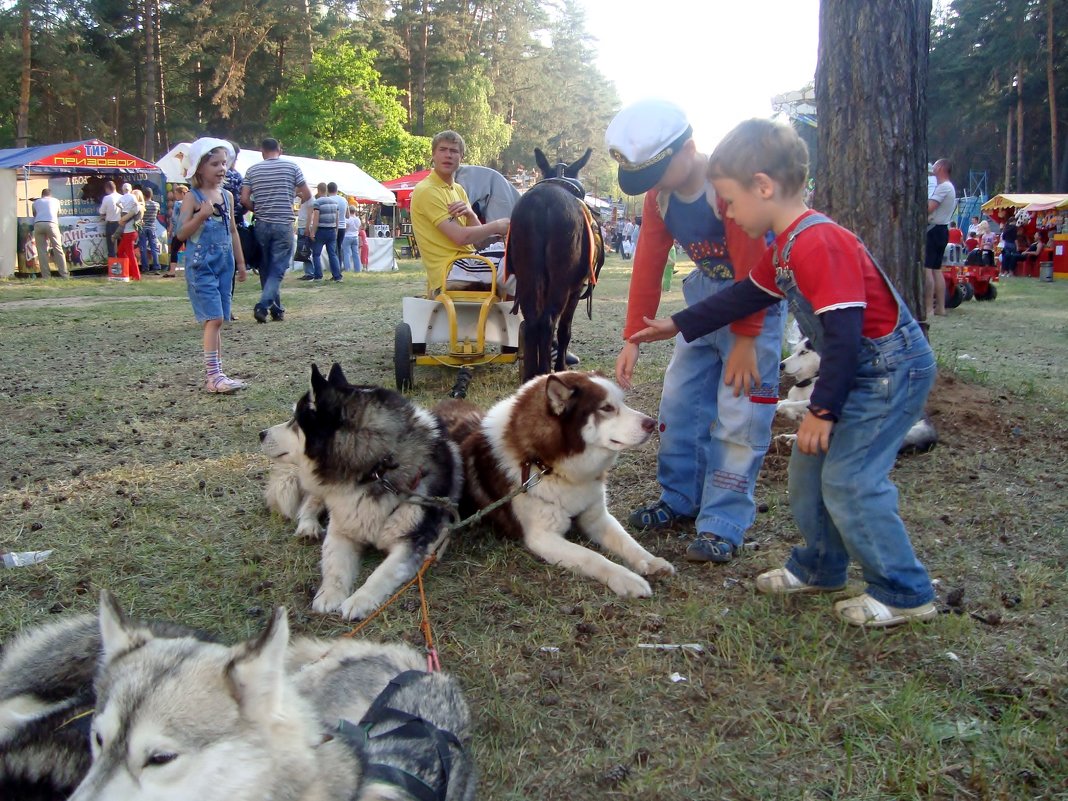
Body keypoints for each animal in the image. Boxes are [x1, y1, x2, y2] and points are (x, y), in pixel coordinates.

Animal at [506, 148, 606, 382]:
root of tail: (542, 203)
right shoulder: (574, 290)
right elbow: (564, 331)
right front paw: (560, 366)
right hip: (562, 285)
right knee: (549, 322)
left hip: (528, 279)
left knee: (532, 323)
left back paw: (530, 376)